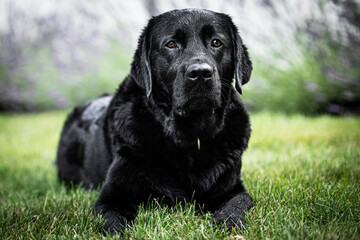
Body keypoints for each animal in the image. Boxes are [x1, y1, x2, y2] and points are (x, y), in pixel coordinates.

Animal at [55, 8, 253, 233]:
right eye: (171, 44)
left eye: (216, 42)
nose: (201, 73)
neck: (189, 137)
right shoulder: (113, 194)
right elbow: (113, 221)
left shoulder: (233, 188)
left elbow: (240, 202)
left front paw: (228, 222)